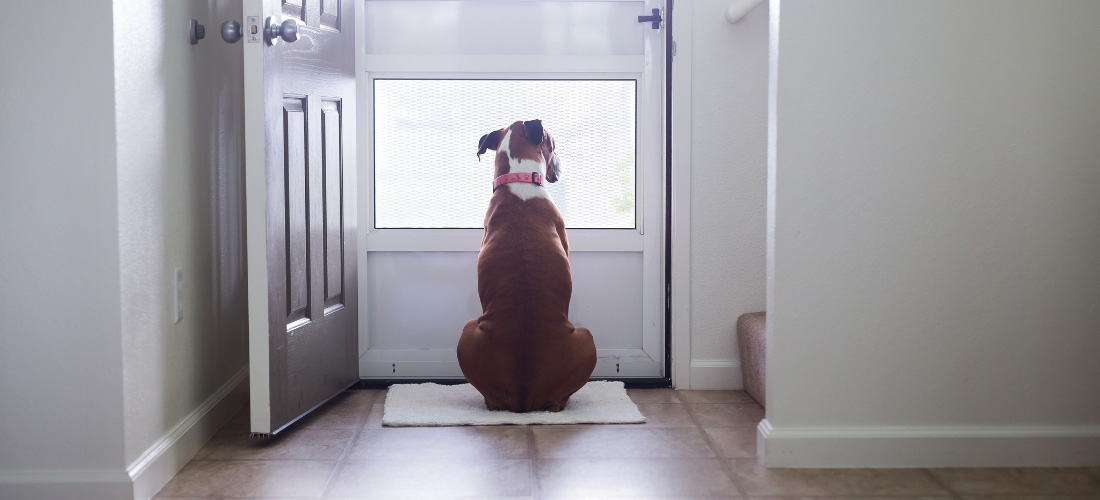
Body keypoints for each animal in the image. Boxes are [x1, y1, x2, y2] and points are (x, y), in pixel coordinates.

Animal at [455, 119, 598, 413]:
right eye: (554, 145)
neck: (518, 179)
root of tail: (524, 393)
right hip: (586, 337)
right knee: (558, 401)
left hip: (467, 333)